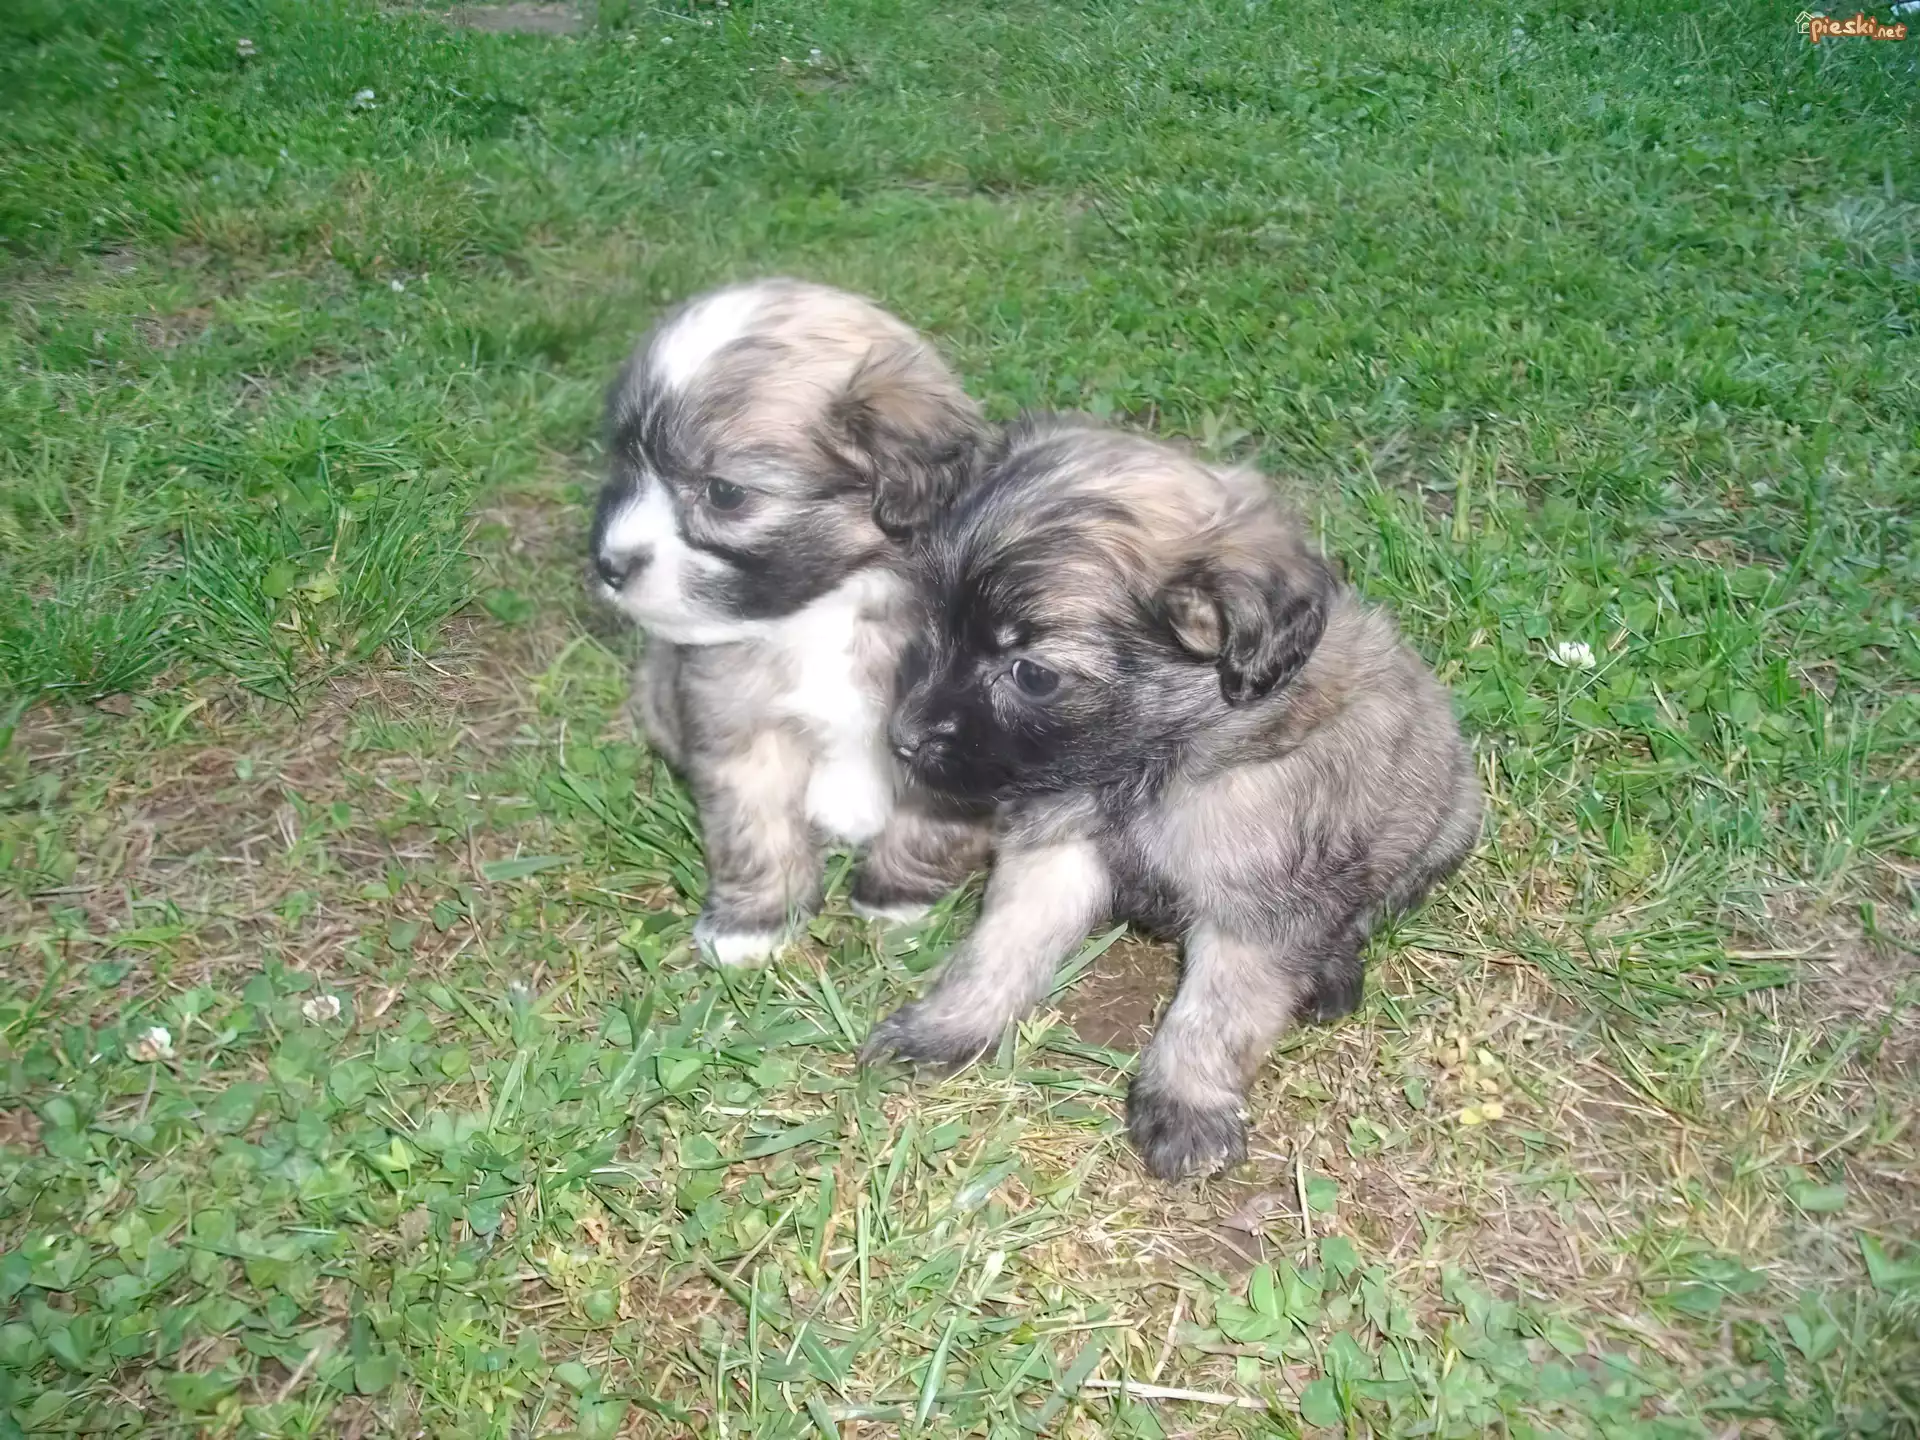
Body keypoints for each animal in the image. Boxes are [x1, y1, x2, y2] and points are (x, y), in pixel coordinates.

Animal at [591, 279, 994, 965]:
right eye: (627, 467)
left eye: (725, 493)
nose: (608, 564)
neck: (830, 608)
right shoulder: (740, 725)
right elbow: (755, 830)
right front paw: (755, 921)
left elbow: (928, 822)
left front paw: (898, 896)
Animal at [864, 415, 1481, 1179]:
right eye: (934, 627)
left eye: (1032, 673)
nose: (902, 738)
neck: (1156, 761)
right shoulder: (1053, 852)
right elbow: (998, 949)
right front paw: (945, 1027)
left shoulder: (1256, 909)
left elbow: (1215, 1015)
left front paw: (1186, 1107)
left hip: (1446, 826)